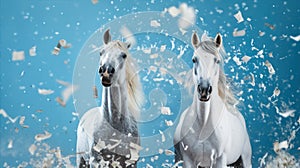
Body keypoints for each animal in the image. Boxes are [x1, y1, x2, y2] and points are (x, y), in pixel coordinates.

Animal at [77, 29, 144, 167]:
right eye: (101, 52)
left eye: (124, 55)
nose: (106, 71)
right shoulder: (96, 161)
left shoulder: (130, 162)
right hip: (81, 160)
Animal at [172, 32, 252, 167]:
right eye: (194, 59)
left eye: (217, 60)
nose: (204, 90)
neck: (204, 123)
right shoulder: (188, 160)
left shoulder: (220, 160)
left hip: (245, 159)